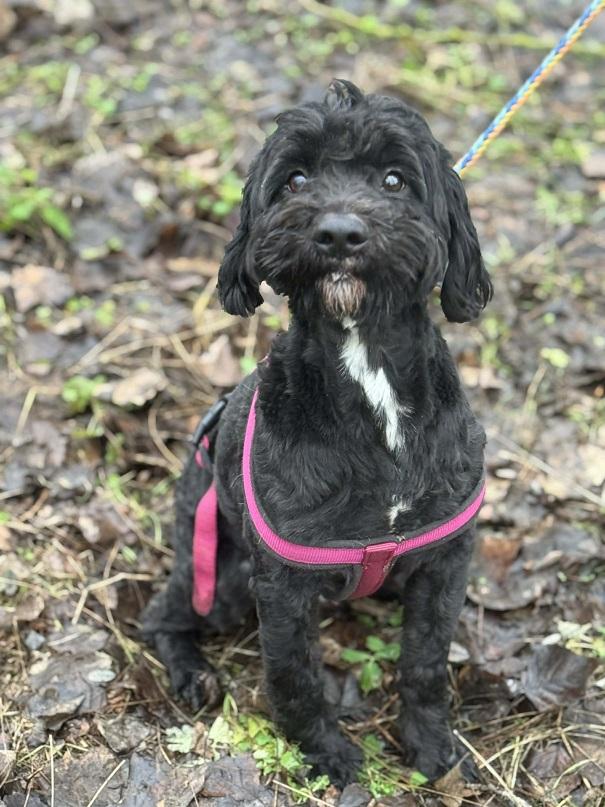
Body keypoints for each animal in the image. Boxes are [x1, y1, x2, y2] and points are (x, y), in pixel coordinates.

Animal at [142, 79, 492, 787]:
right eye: (295, 180)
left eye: (394, 179)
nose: (338, 232)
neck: (367, 372)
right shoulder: (281, 584)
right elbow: (295, 675)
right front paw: (325, 752)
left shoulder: (445, 563)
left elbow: (425, 663)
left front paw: (432, 746)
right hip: (220, 574)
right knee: (163, 614)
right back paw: (192, 673)